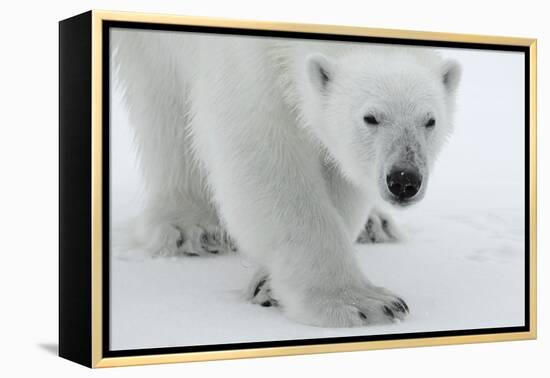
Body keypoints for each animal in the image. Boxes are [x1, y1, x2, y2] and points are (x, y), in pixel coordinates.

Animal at [114, 28, 464, 328]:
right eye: (370, 117)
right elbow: (262, 152)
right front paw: (360, 304)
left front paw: (268, 285)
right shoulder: (242, 60)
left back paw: (375, 224)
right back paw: (192, 226)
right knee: (161, 94)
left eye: (430, 120)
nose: (404, 179)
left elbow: (336, 166)